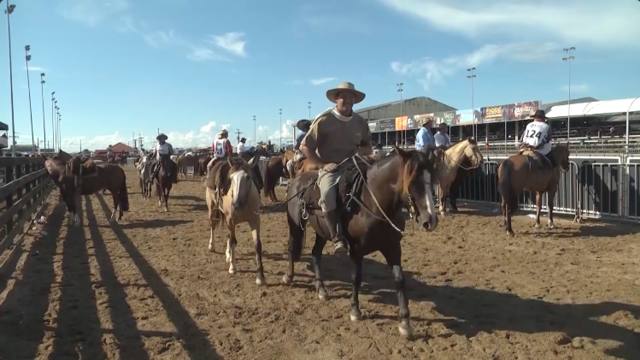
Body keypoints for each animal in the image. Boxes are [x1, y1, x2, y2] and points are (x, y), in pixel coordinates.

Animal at [205, 156, 264, 286]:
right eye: (231, 178)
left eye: (248, 177)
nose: (236, 204)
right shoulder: (231, 221)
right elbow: (233, 242)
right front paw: (233, 267)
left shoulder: (255, 221)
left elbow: (257, 245)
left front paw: (260, 277)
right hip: (212, 209)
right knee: (212, 226)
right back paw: (211, 246)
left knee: (228, 235)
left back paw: (228, 254)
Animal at [284, 147, 440, 338]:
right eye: (413, 181)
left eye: (431, 180)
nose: (430, 220)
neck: (372, 202)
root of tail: (297, 181)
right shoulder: (356, 251)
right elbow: (356, 278)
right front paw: (355, 311)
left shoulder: (393, 248)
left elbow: (399, 280)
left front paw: (405, 323)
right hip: (294, 225)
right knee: (292, 248)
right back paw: (289, 277)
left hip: (321, 231)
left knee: (316, 254)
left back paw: (321, 289)